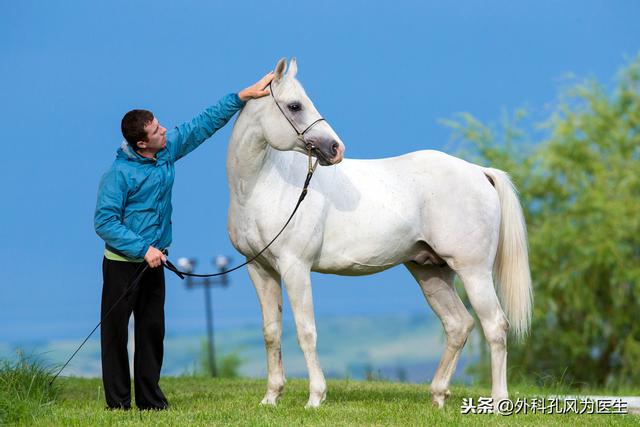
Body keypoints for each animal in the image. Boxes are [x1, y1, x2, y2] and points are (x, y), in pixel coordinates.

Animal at [225, 58, 528, 410]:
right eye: (295, 105)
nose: (335, 147)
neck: (264, 185)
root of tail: (480, 172)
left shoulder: (294, 267)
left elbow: (305, 331)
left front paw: (315, 397)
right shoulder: (260, 269)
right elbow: (271, 332)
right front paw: (271, 397)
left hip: (474, 272)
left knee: (495, 327)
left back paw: (498, 402)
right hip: (430, 272)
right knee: (458, 325)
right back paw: (438, 396)